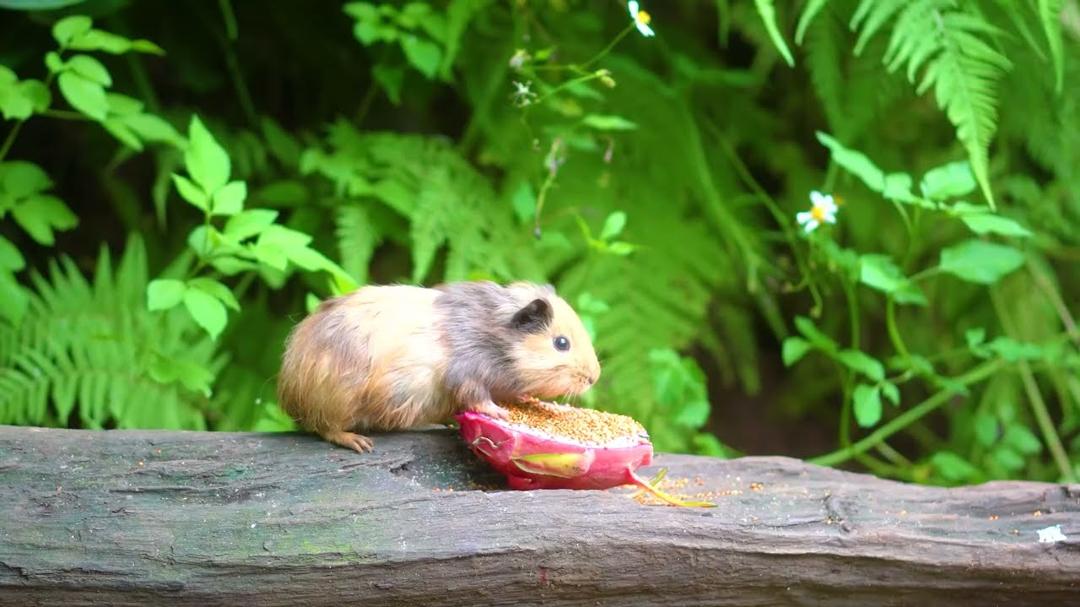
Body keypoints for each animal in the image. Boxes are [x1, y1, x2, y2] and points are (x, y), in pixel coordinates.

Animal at [277, 281, 601, 452]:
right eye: (561, 343)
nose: (594, 377)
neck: (492, 338)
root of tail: (290, 391)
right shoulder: (467, 375)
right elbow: (477, 397)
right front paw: (501, 413)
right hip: (336, 404)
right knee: (327, 429)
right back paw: (361, 443)